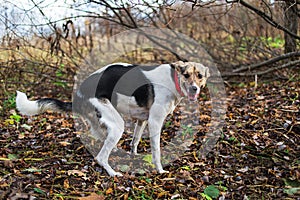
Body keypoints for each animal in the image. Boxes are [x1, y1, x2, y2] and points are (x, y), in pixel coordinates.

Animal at [15, 61, 210, 177]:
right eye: (186, 75)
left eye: (200, 76)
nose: (194, 89)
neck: (173, 80)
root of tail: (77, 94)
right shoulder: (155, 122)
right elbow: (157, 151)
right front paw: (160, 169)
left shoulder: (142, 120)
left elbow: (135, 140)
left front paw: (133, 155)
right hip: (117, 124)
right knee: (101, 157)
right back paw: (113, 172)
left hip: (104, 121)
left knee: (101, 139)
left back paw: (114, 152)